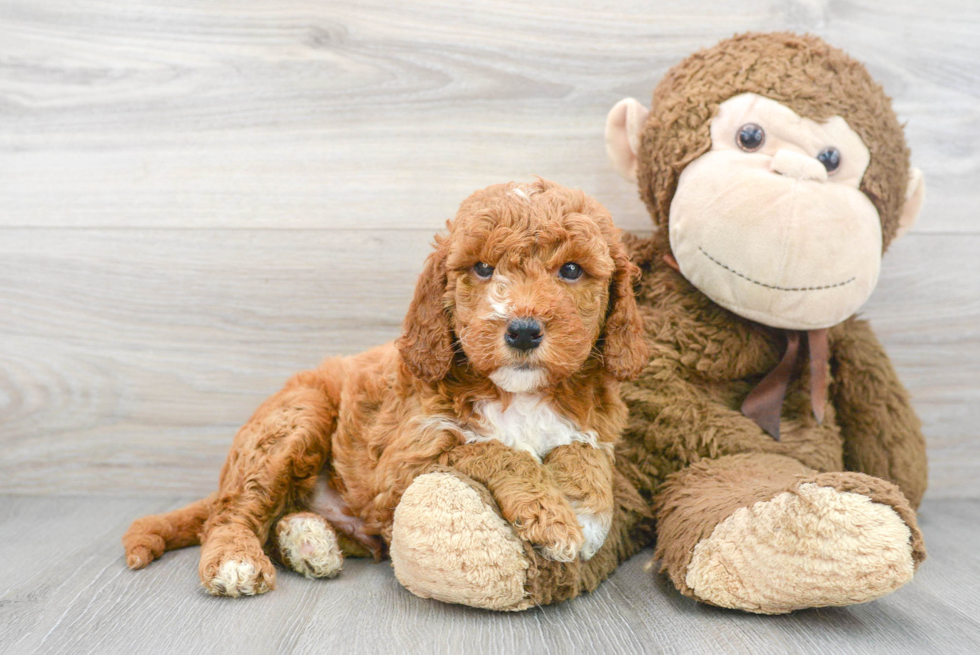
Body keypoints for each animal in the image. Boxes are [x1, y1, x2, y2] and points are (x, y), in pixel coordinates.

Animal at [124, 178, 644, 596]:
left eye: (572, 270)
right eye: (481, 268)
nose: (521, 330)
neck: (519, 393)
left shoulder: (592, 423)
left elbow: (585, 452)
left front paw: (586, 510)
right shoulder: (403, 464)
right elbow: (492, 450)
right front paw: (553, 514)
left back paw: (307, 541)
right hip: (295, 420)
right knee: (233, 510)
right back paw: (236, 561)